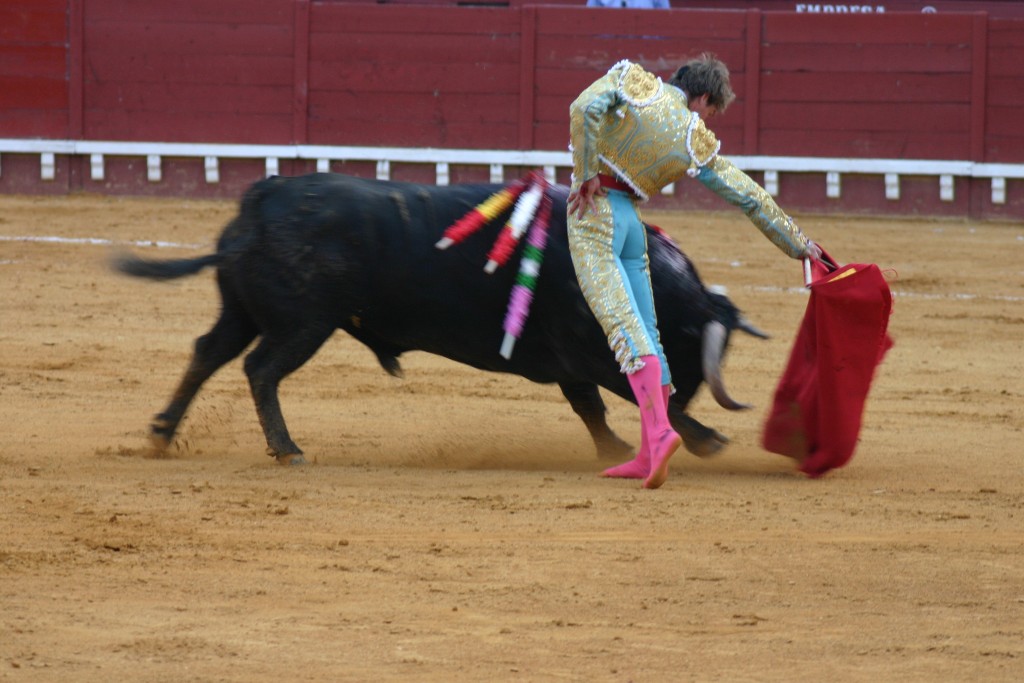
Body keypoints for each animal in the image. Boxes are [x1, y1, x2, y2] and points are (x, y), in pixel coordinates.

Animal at [114, 174, 770, 466]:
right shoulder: (592, 351)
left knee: (207, 352)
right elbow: (627, 391)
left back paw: (162, 433)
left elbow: (591, 407)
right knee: (261, 369)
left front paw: (614, 449)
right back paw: (287, 448)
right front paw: (704, 438)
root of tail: (263, 196)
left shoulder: (570, 361)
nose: (688, 389)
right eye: (693, 347)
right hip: (304, 322)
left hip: (244, 311)